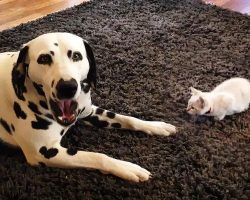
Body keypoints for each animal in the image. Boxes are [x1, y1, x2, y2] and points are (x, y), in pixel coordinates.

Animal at [0, 32, 176, 182]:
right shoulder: (43, 153)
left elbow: (128, 119)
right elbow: (97, 156)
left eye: (76, 56)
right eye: (44, 59)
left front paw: (156, 126)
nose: (67, 87)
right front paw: (127, 168)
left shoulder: (89, 112)